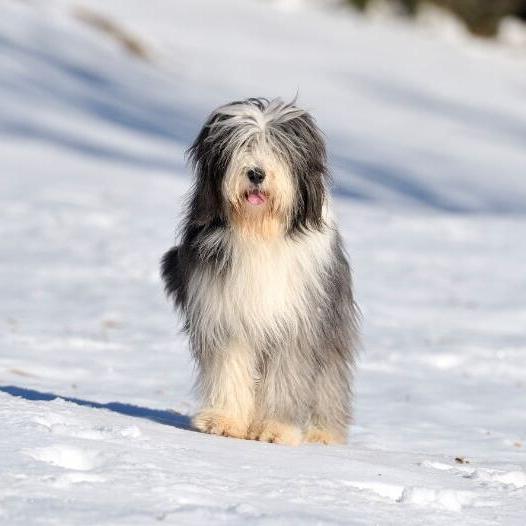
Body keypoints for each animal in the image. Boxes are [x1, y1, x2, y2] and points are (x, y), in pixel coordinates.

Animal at [162, 98, 358, 446]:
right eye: (242, 145)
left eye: (277, 148)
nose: (256, 173)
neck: (259, 233)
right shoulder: (224, 315)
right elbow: (228, 367)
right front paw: (223, 420)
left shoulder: (297, 322)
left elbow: (287, 376)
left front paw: (275, 429)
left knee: (329, 380)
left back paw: (324, 433)